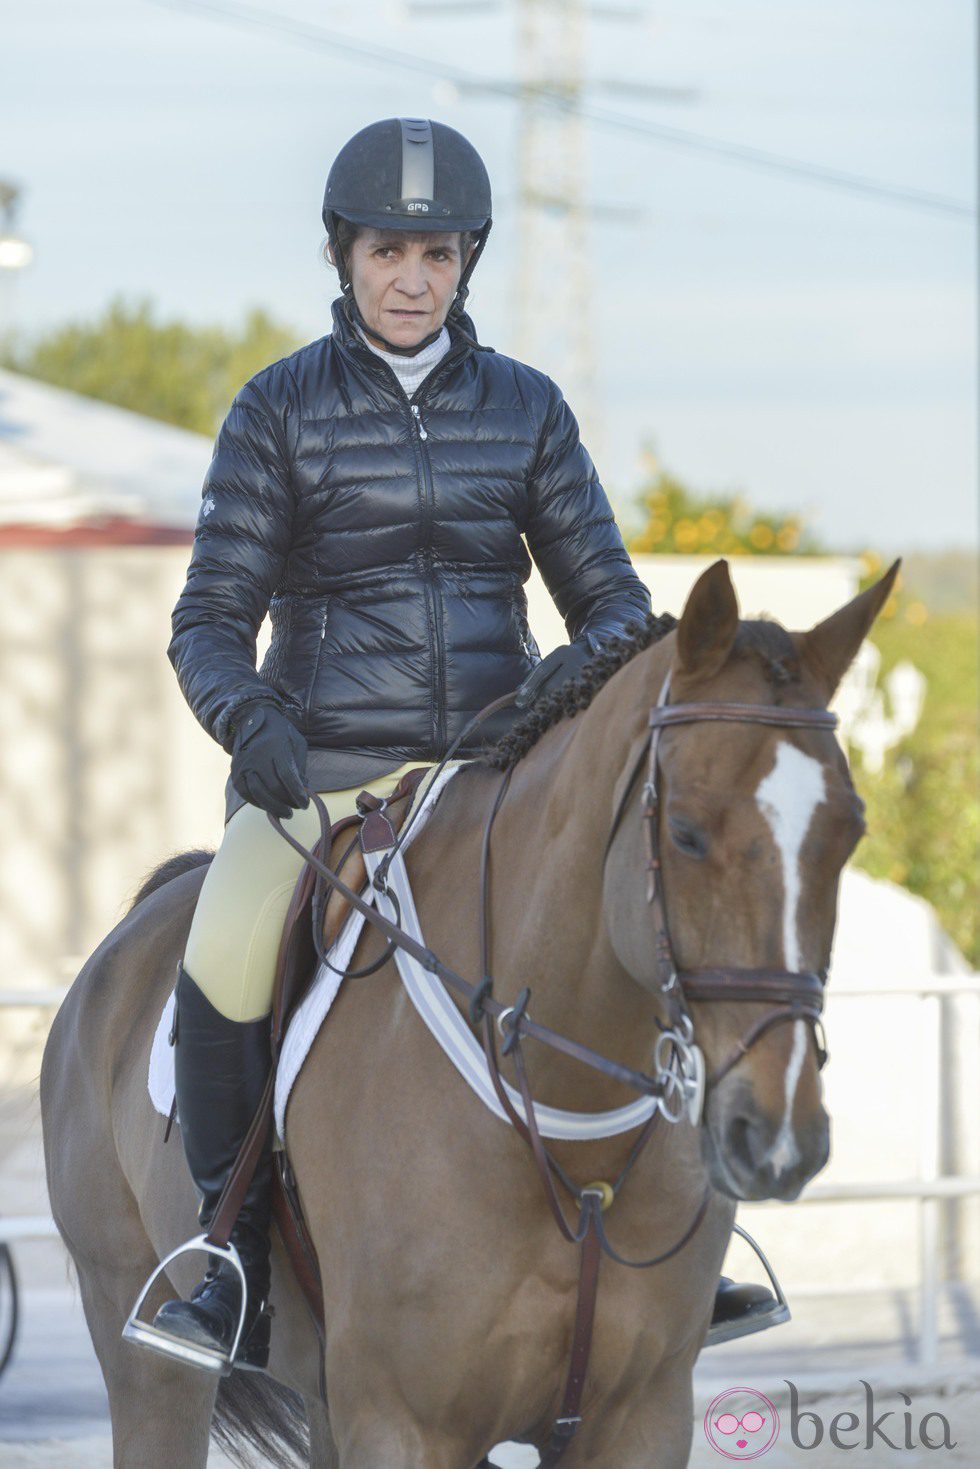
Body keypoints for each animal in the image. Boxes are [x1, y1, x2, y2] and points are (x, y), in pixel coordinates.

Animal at [40, 555, 899, 1463]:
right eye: (688, 834)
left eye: (848, 831)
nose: (778, 1137)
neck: (566, 1126)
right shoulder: (404, 1421)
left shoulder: (643, 1414)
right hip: (150, 1358)